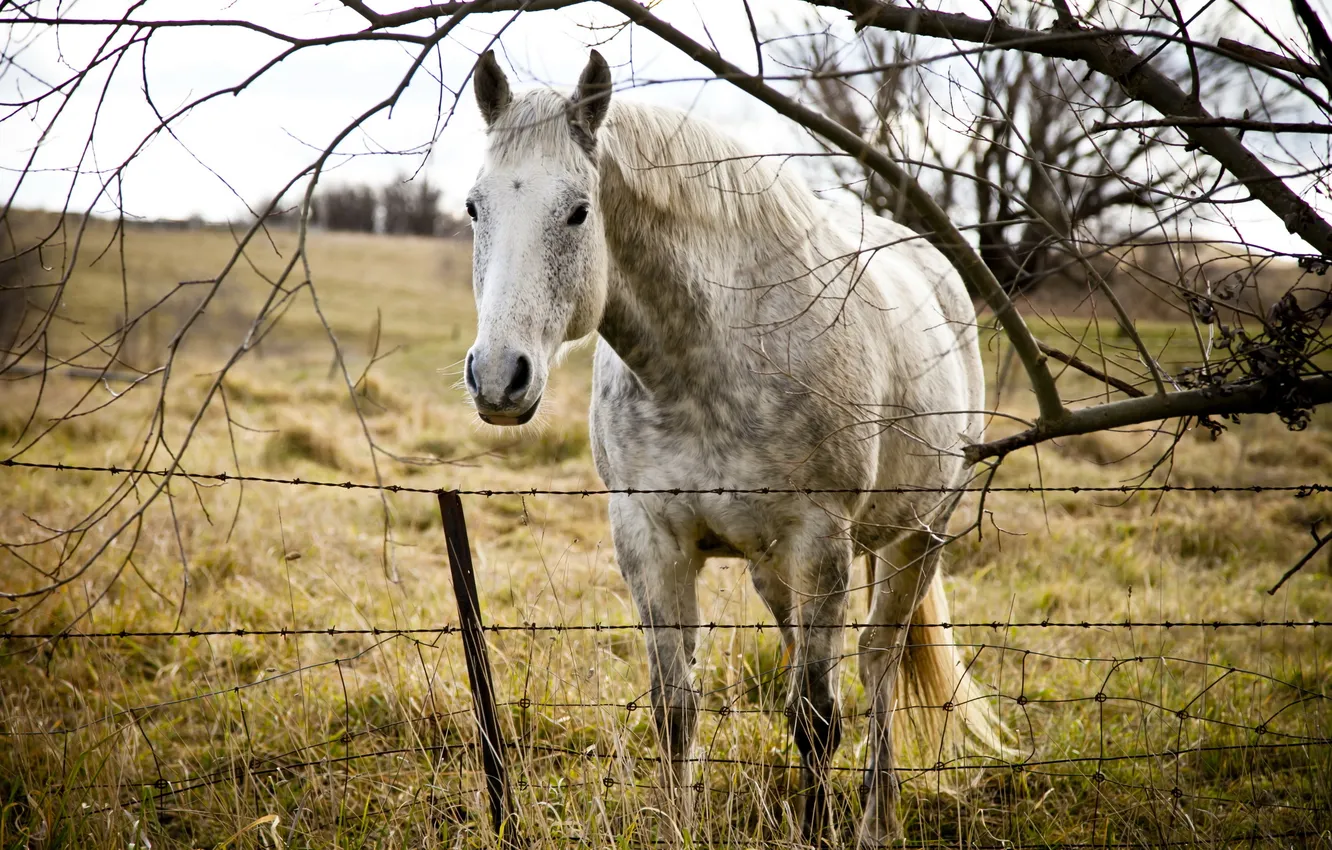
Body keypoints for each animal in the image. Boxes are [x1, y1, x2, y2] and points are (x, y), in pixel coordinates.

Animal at [461, 49, 1002, 847]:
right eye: (476, 208)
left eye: (578, 211)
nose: (499, 377)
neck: (708, 361)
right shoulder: (649, 539)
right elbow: (675, 709)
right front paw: (677, 827)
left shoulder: (821, 541)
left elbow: (817, 721)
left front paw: (819, 833)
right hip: (776, 570)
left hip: (918, 536)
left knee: (876, 665)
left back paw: (876, 821)